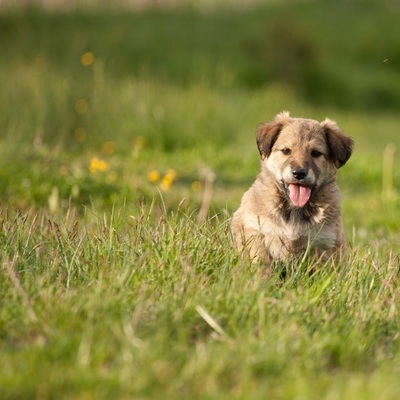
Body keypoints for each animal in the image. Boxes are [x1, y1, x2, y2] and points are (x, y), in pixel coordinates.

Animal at [231, 111, 354, 266]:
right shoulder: (255, 230)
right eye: (286, 151)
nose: (299, 173)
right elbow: (261, 261)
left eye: (315, 153)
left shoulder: (326, 242)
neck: (295, 210)